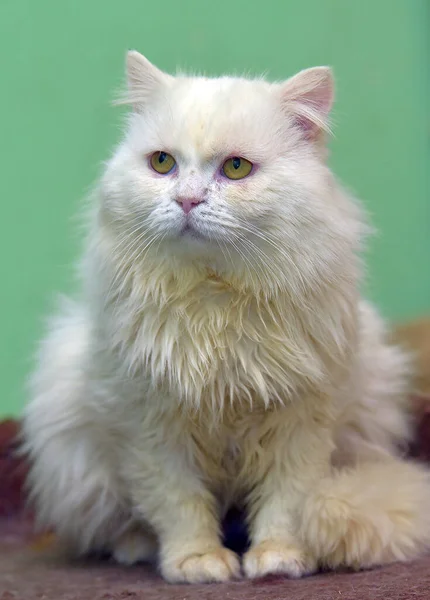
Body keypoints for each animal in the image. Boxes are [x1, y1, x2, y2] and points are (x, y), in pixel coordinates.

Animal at [21, 51, 430, 580]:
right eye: (162, 163)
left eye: (236, 168)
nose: (187, 201)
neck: (214, 300)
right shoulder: (151, 427)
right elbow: (179, 505)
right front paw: (197, 563)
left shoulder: (300, 423)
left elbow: (286, 501)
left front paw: (278, 559)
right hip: (76, 452)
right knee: (114, 526)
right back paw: (139, 548)